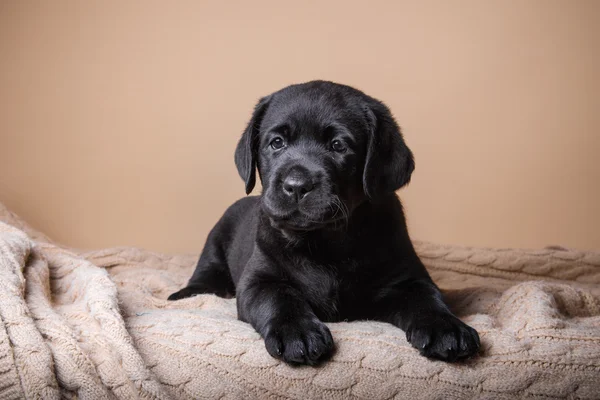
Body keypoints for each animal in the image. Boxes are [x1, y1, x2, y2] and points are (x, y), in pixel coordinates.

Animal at [169, 79, 478, 364]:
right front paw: (297, 333)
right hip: (215, 240)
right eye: (277, 143)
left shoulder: (407, 279)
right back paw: (186, 294)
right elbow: (280, 298)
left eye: (338, 146)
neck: (323, 242)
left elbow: (427, 299)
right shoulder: (259, 281)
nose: (296, 185)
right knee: (205, 273)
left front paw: (446, 328)